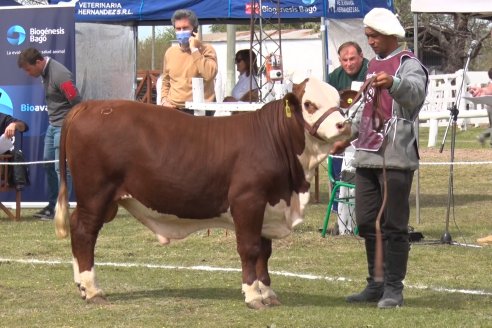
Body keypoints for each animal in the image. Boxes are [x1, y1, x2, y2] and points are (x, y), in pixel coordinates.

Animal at [54, 77, 350, 308]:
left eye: (339, 101)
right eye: (309, 104)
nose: (343, 126)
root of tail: (89, 106)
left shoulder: (269, 206)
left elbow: (265, 252)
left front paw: (268, 292)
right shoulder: (248, 200)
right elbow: (250, 249)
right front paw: (253, 295)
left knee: (77, 226)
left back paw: (81, 285)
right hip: (95, 193)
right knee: (84, 232)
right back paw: (93, 289)